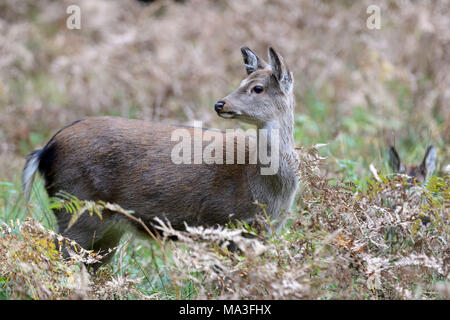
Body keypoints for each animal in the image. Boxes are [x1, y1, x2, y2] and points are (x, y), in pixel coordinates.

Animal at [22, 45, 300, 264]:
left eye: (258, 88)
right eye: (242, 83)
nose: (220, 104)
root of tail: (45, 150)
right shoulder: (221, 223)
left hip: (103, 227)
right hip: (75, 206)